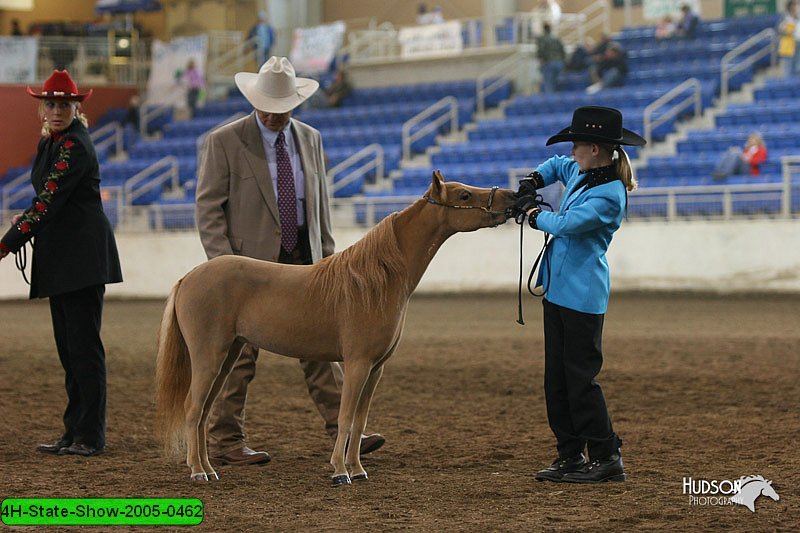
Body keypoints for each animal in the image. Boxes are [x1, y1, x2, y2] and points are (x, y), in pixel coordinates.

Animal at [155, 170, 516, 482]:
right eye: (465, 194)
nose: (511, 197)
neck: (376, 281)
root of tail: (189, 277)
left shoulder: (375, 368)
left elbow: (359, 420)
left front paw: (358, 469)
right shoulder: (357, 363)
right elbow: (344, 417)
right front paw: (341, 472)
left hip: (227, 356)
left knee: (203, 413)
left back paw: (208, 469)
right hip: (209, 356)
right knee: (192, 409)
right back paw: (197, 472)